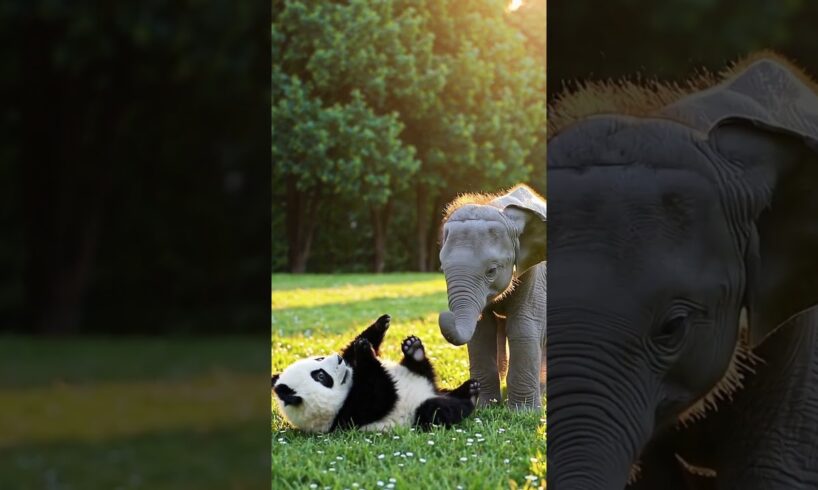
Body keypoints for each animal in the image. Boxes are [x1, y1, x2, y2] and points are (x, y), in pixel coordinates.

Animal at [274, 314, 478, 432]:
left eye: (318, 359)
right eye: (322, 377)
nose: (338, 359)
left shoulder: (351, 369)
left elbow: (351, 353)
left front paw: (379, 325)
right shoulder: (351, 414)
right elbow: (381, 393)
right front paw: (364, 350)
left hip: (424, 380)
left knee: (420, 370)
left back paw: (414, 350)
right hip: (419, 412)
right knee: (438, 410)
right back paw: (469, 396)